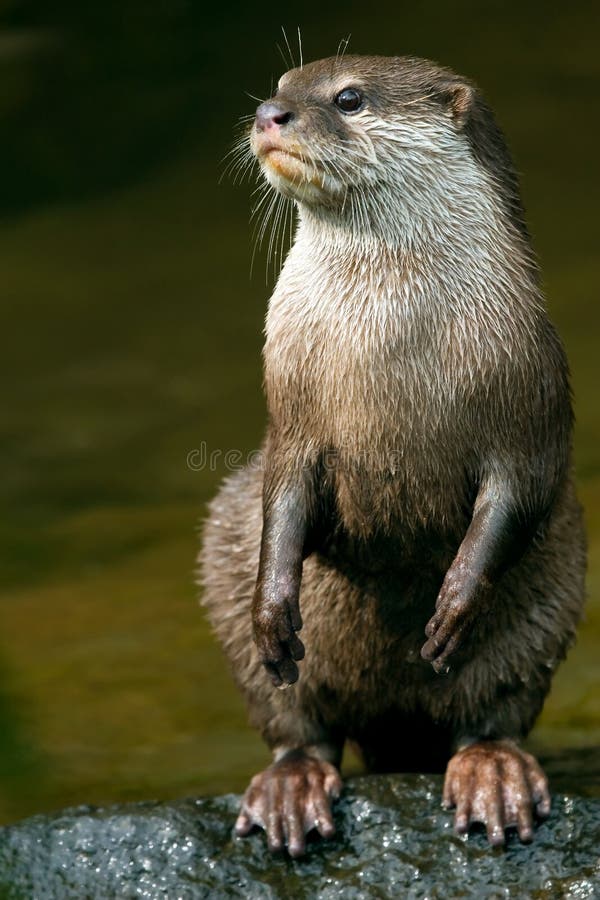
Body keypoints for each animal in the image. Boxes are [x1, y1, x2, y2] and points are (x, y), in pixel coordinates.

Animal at [199, 56, 584, 856]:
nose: (268, 114)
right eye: (282, 81)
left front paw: (454, 604)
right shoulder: (290, 411)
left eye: (348, 97)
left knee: (489, 715)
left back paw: (492, 773)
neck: (386, 334)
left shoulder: (531, 392)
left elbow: (519, 496)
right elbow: (281, 498)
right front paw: (273, 607)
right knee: (298, 725)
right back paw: (291, 786)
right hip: (228, 589)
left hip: (551, 608)